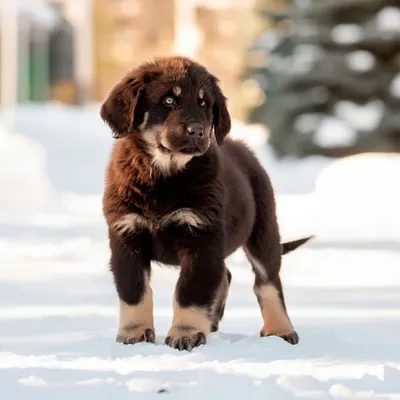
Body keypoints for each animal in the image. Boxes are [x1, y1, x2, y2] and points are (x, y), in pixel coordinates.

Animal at [100, 55, 312, 350]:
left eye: (204, 103)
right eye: (168, 101)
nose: (197, 131)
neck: (165, 173)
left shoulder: (201, 234)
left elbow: (190, 291)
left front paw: (185, 333)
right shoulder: (126, 235)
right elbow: (135, 290)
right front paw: (134, 333)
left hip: (263, 230)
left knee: (267, 282)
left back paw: (280, 330)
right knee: (225, 275)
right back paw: (212, 321)